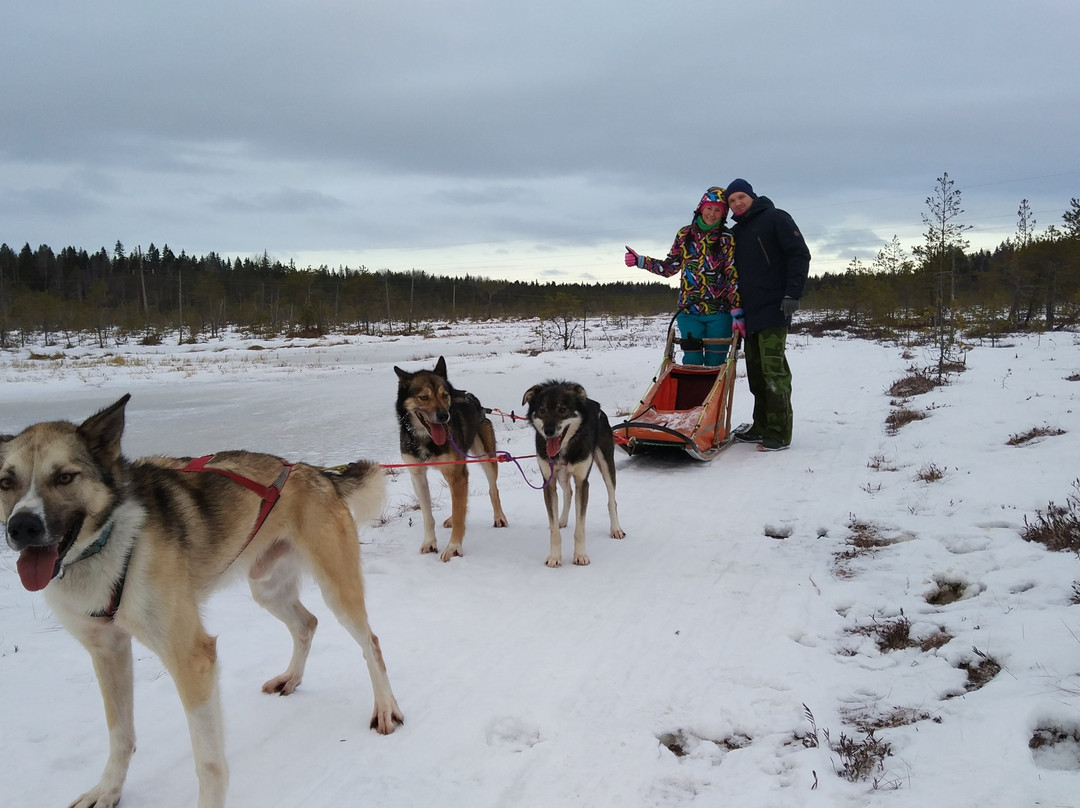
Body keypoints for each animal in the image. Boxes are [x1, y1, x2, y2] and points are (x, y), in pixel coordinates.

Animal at [0, 395, 403, 808]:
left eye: (65, 477)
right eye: (5, 482)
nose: (22, 526)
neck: (111, 542)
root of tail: (317, 473)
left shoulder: (191, 657)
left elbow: (208, 761)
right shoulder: (107, 651)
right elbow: (120, 736)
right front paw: (108, 790)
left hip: (336, 588)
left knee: (370, 642)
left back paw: (386, 708)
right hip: (266, 588)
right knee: (307, 624)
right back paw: (291, 677)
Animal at [395, 356, 507, 557]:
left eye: (444, 395)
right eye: (424, 397)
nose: (443, 416)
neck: (427, 440)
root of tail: (477, 403)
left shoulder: (457, 475)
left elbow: (459, 513)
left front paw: (454, 547)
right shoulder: (418, 476)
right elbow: (428, 515)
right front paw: (429, 542)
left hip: (486, 458)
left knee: (493, 489)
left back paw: (499, 517)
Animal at [520, 380, 626, 566]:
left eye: (562, 410)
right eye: (542, 410)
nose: (549, 431)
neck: (564, 449)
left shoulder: (582, 483)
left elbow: (580, 528)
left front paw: (580, 555)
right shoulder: (548, 482)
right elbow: (554, 529)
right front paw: (554, 557)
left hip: (607, 466)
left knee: (612, 500)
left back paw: (615, 528)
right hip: (561, 476)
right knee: (568, 492)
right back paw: (562, 519)